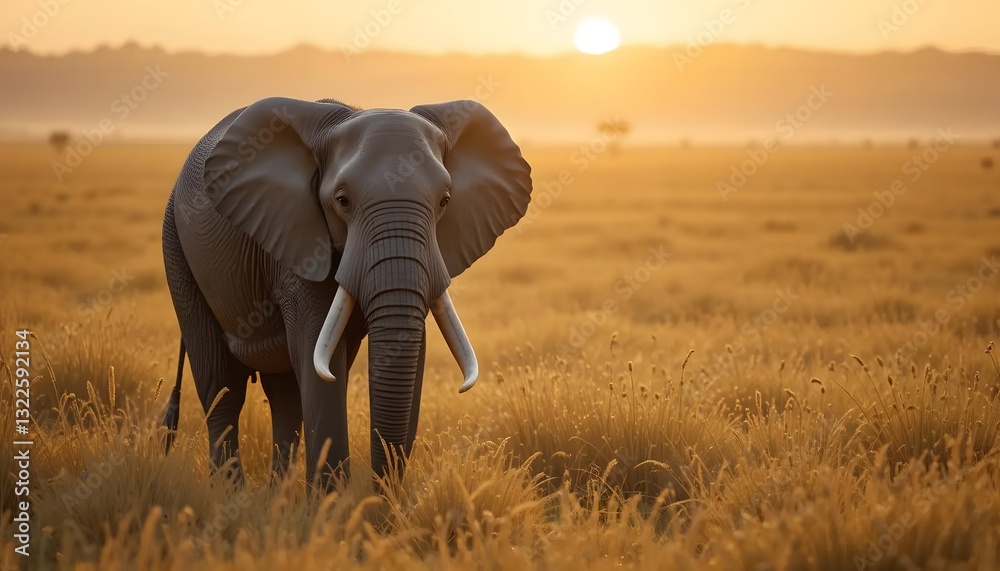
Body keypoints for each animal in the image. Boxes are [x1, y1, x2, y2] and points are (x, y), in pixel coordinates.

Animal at [160, 96, 532, 486]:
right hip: (177, 248)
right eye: (342, 201)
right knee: (221, 386)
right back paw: (234, 493)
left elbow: (412, 350)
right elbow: (318, 355)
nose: (380, 491)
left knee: (285, 395)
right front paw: (332, 503)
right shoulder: (298, 243)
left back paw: (277, 493)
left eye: (445, 201)